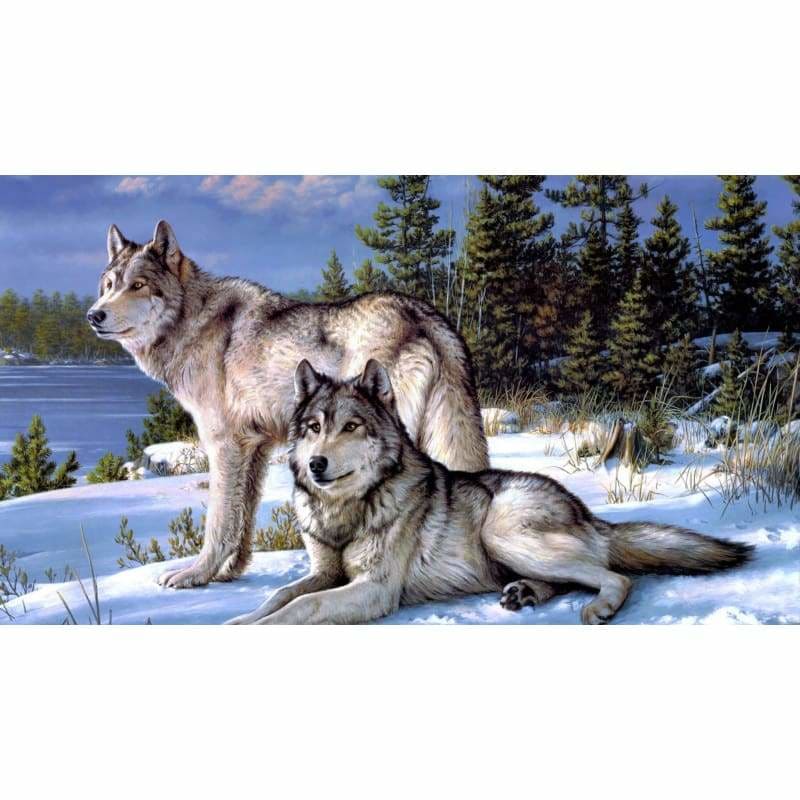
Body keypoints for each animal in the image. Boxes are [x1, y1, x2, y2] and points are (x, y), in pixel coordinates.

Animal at [87, 221, 489, 588]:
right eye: (108, 286)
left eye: (138, 285)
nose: (94, 315)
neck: (192, 322)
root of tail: (425, 314)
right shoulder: (255, 448)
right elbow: (243, 518)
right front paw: (230, 572)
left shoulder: (223, 446)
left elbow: (219, 522)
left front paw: (195, 575)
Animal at [227, 360, 753, 625]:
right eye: (314, 428)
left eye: (351, 427)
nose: (316, 464)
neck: (345, 512)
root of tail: (585, 511)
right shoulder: (325, 573)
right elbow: (280, 596)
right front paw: (238, 620)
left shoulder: (374, 590)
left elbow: (301, 606)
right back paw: (524, 594)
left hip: (503, 534)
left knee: (616, 577)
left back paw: (597, 607)